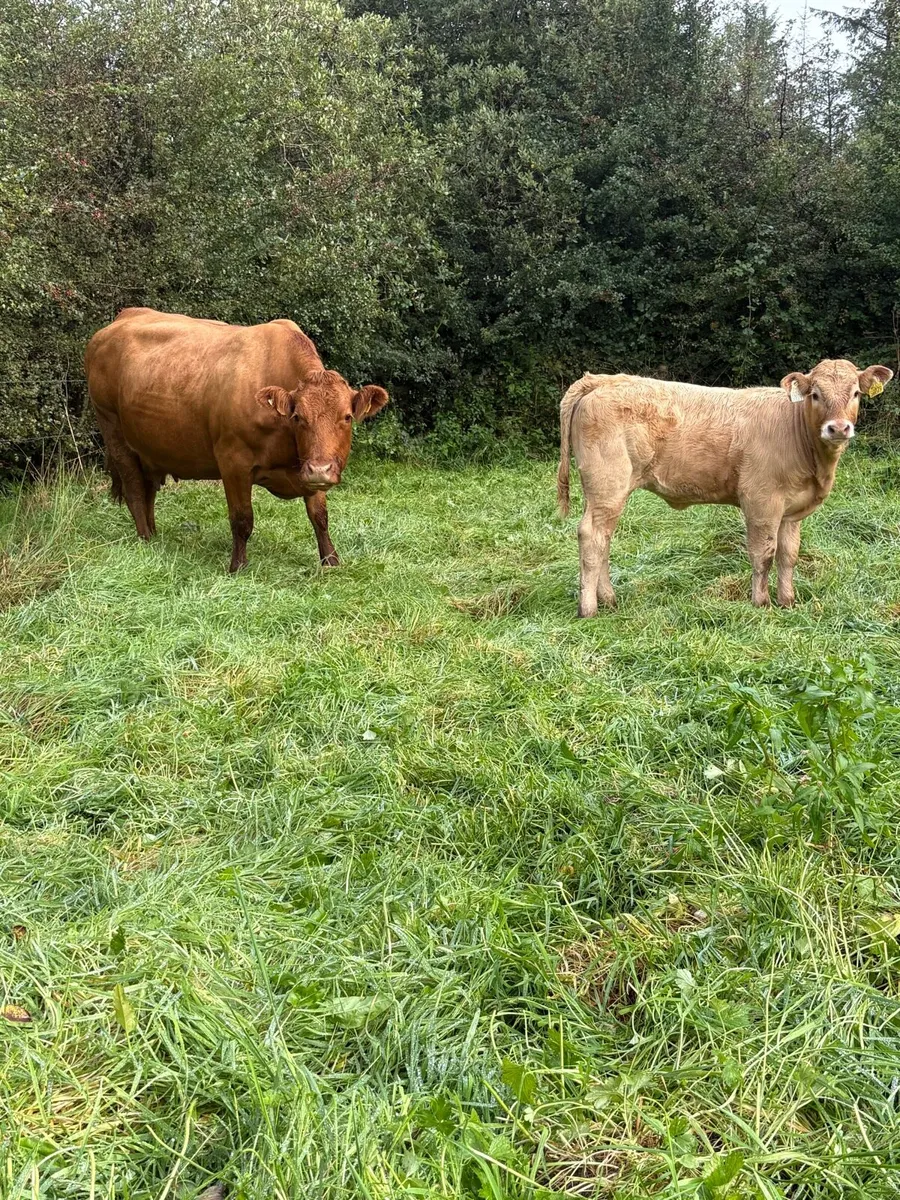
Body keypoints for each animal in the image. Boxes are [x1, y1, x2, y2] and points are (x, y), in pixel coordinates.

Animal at [85, 308, 388, 572]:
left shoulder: (310, 466)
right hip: (113, 430)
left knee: (147, 489)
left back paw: (155, 535)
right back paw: (146, 539)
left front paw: (330, 560)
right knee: (135, 489)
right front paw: (238, 566)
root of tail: (124, 316)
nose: (320, 470)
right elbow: (242, 519)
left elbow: (320, 516)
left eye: (347, 416)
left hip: (149, 447)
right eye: (298, 417)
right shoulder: (234, 463)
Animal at [557, 358, 893, 616]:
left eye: (856, 393)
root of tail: (604, 379)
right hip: (607, 485)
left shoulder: (791, 511)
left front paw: (787, 601)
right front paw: (761, 603)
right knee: (591, 536)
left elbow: (788, 555)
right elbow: (763, 553)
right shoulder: (761, 501)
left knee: (603, 538)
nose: (838, 428)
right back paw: (589, 608)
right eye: (815, 395)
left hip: (603, 492)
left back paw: (609, 599)